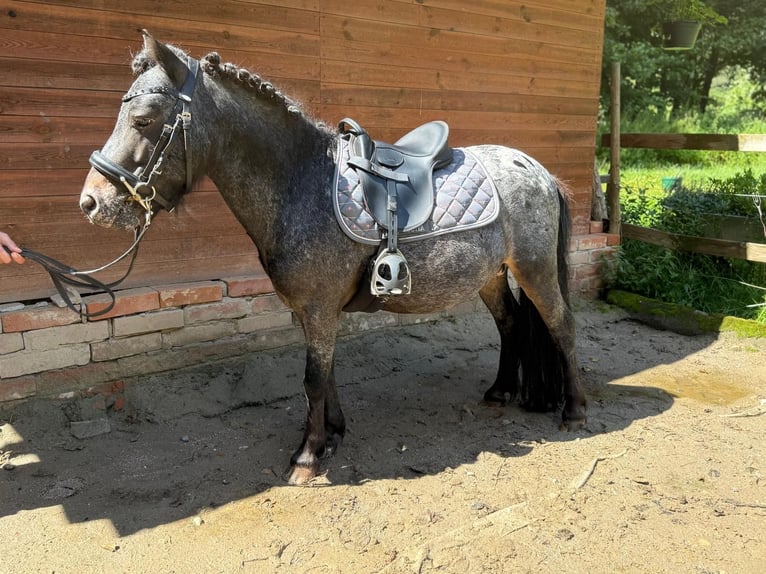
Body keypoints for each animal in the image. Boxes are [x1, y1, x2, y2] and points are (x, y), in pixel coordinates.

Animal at [79, 32, 586, 484]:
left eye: (143, 119)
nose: (92, 203)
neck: (303, 183)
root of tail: (539, 171)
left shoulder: (320, 307)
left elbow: (312, 378)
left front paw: (307, 457)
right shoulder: (314, 310)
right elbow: (326, 373)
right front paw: (334, 434)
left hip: (536, 269)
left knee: (561, 325)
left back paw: (575, 410)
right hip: (492, 276)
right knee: (511, 323)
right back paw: (501, 391)